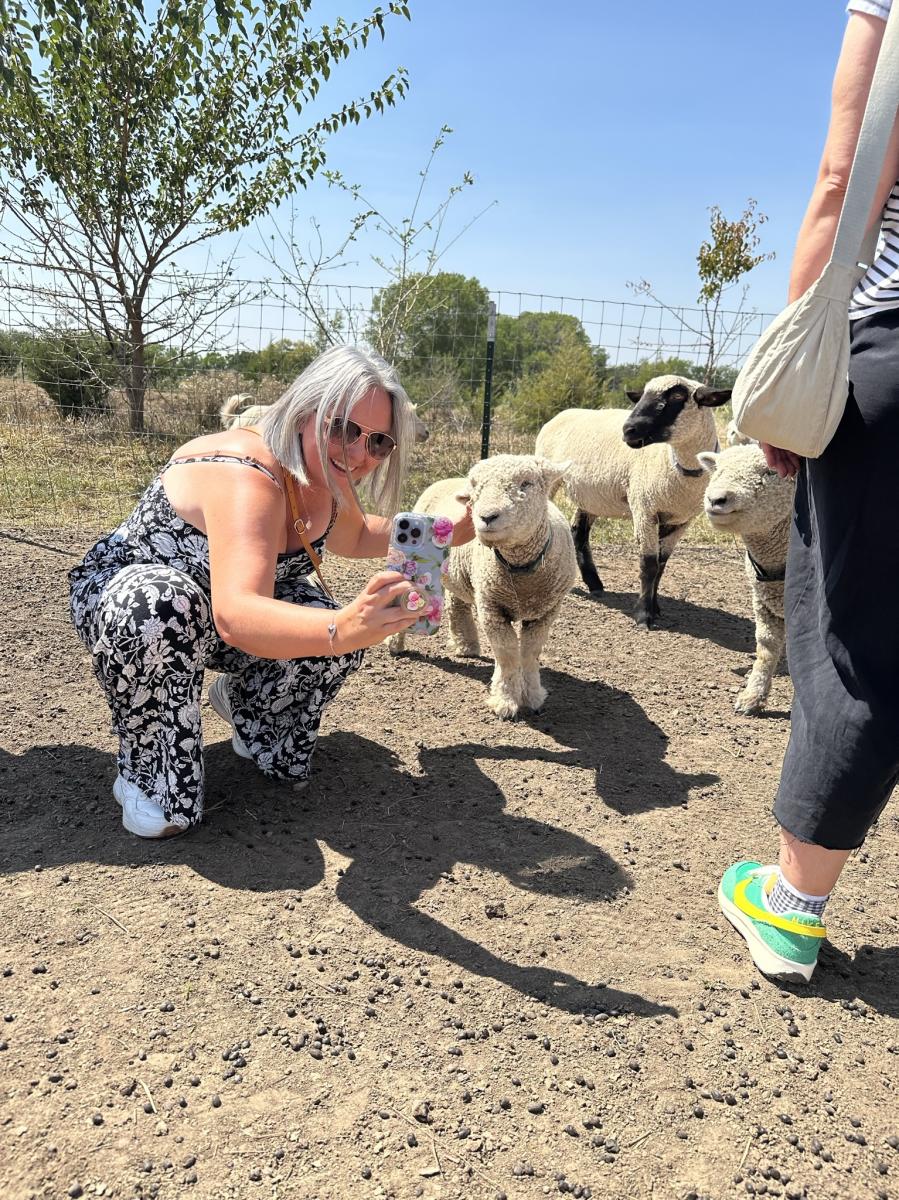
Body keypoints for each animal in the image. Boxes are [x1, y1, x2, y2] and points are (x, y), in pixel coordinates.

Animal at [386, 456, 576, 720]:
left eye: (526, 483)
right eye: (477, 486)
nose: (487, 517)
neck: (521, 578)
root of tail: (444, 480)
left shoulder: (546, 612)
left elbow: (530, 653)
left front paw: (533, 696)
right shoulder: (491, 608)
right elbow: (507, 654)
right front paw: (505, 700)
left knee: (457, 604)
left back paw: (466, 645)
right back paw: (396, 643)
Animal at [532, 376, 729, 628]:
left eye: (677, 396)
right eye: (642, 395)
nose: (628, 430)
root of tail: (563, 413)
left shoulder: (681, 521)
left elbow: (661, 565)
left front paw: (655, 608)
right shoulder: (645, 508)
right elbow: (649, 564)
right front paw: (644, 615)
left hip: (591, 495)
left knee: (579, 532)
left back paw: (595, 584)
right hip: (549, 477)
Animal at [696, 446, 792, 715]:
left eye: (771, 471)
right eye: (717, 469)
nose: (716, 499)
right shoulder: (764, 601)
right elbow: (766, 647)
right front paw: (752, 697)